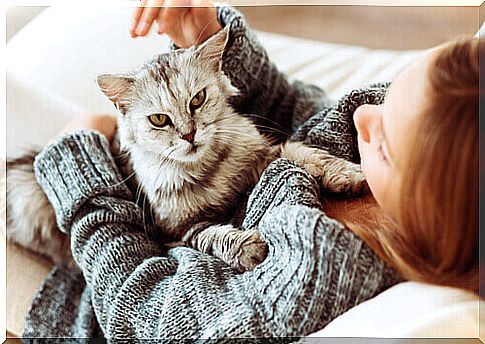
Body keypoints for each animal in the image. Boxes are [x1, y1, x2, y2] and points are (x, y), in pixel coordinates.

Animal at [5, 27, 364, 272]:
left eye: (198, 100)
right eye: (159, 119)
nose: (189, 135)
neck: (210, 173)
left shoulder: (268, 153)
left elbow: (309, 155)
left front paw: (347, 174)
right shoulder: (175, 233)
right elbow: (212, 236)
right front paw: (245, 247)